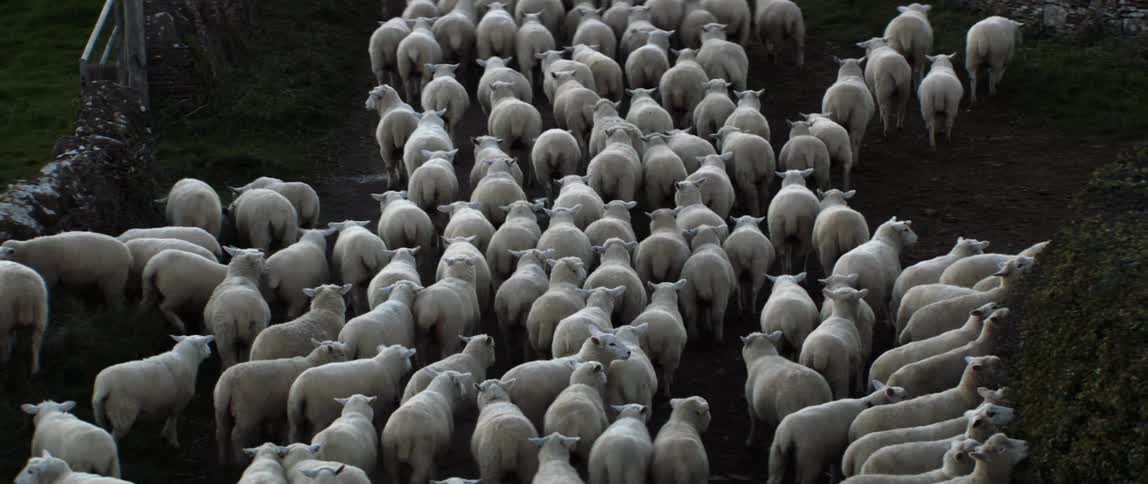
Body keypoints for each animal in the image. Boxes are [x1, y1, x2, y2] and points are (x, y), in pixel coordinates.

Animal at [0, 231, 131, 309]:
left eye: (4, 256)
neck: (26, 252)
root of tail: (127, 254)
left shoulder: (49, 273)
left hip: (114, 275)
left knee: (115, 297)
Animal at [214, 340, 349, 463]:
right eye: (341, 354)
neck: (313, 362)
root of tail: (227, 383)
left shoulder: (285, 411)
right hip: (246, 413)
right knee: (236, 436)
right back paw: (240, 461)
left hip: (221, 409)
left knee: (222, 433)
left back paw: (223, 460)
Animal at [287, 344, 416, 442]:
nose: (411, 367)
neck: (387, 368)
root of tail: (300, 389)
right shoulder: (381, 406)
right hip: (319, 416)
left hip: (294, 415)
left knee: (294, 434)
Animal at [767, 381, 909, 484]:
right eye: (903, 396)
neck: (870, 403)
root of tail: (786, 434)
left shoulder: (837, 451)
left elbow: (835, 472)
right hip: (808, 459)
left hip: (776, 455)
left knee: (774, 478)